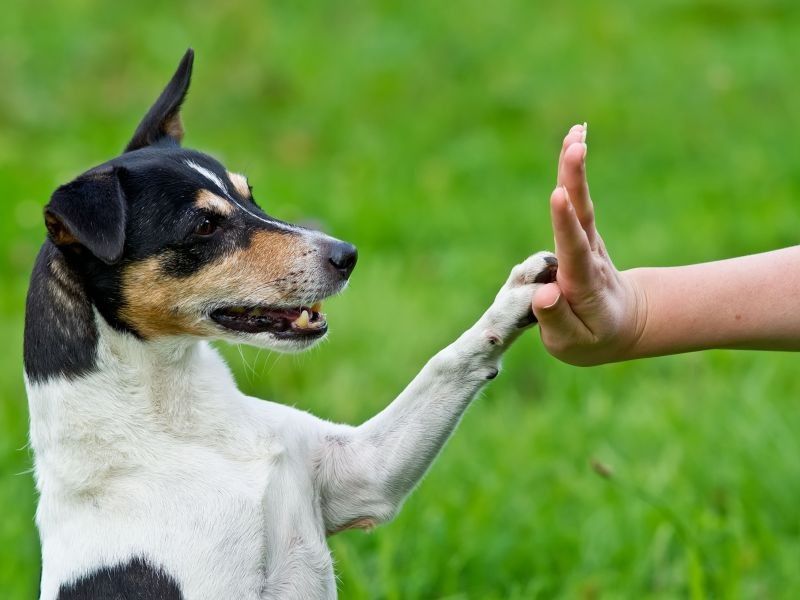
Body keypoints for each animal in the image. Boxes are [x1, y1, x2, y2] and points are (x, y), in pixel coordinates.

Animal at [20, 50, 556, 600]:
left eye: (250, 195)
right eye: (205, 225)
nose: (347, 255)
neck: (180, 422)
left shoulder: (363, 473)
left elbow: (446, 362)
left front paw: (520, 295)